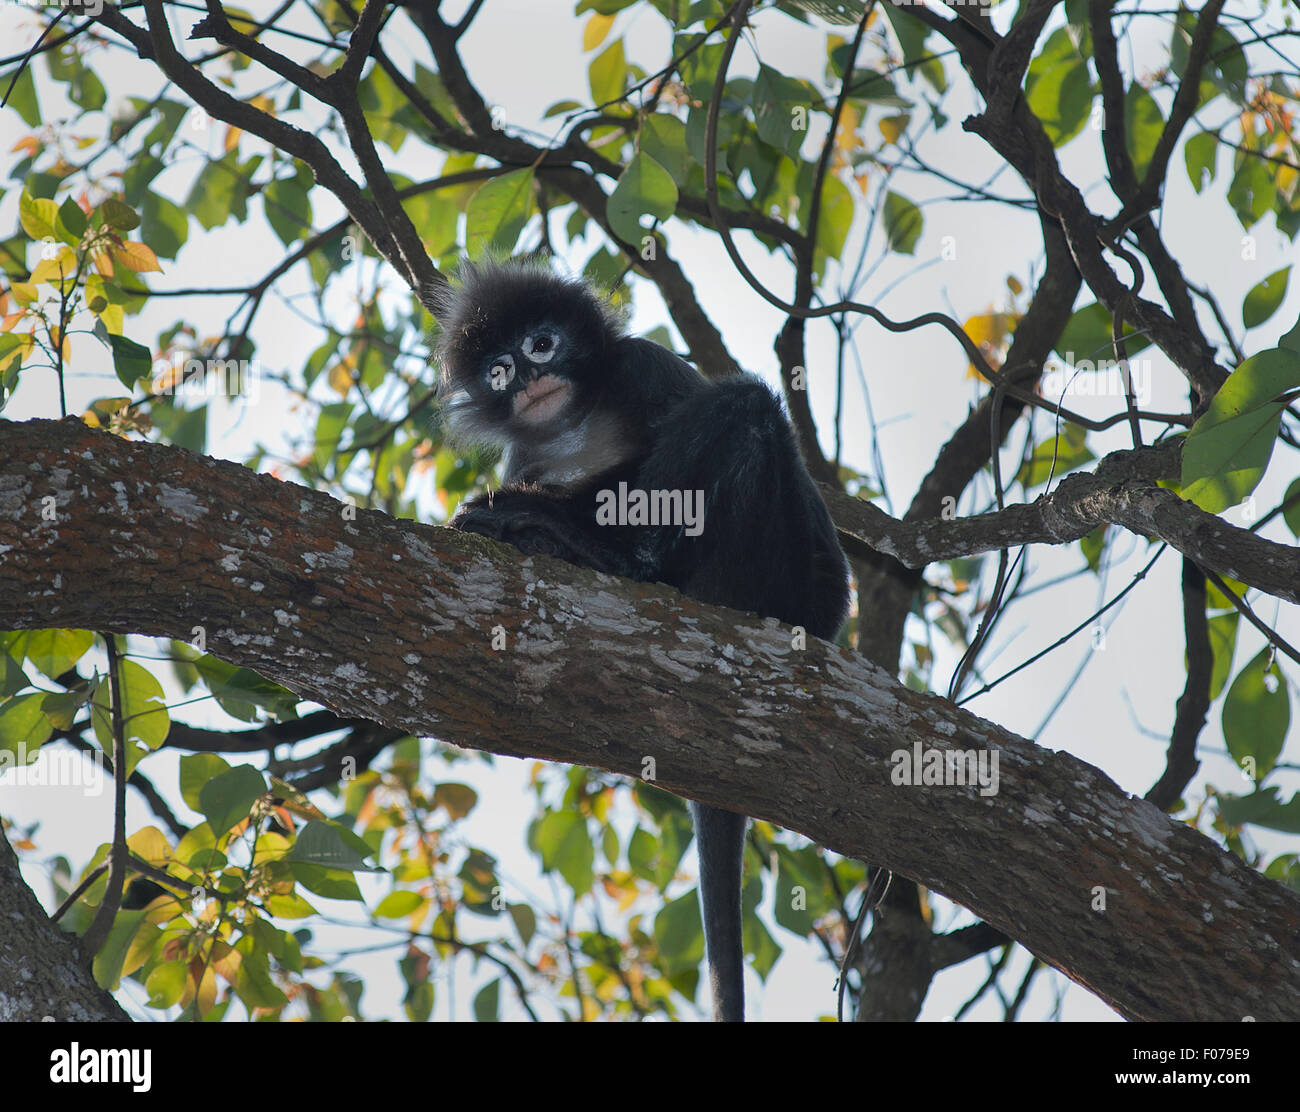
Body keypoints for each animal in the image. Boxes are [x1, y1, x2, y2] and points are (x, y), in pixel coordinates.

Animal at [431, 259, 850, 1021]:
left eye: (542, 343)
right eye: (500, 369)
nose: (529, 378)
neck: (570, 425)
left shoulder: (644, 366)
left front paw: (537, 513)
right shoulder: (522, 452)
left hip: (777, 572)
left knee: (743, 406)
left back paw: (607, 549)